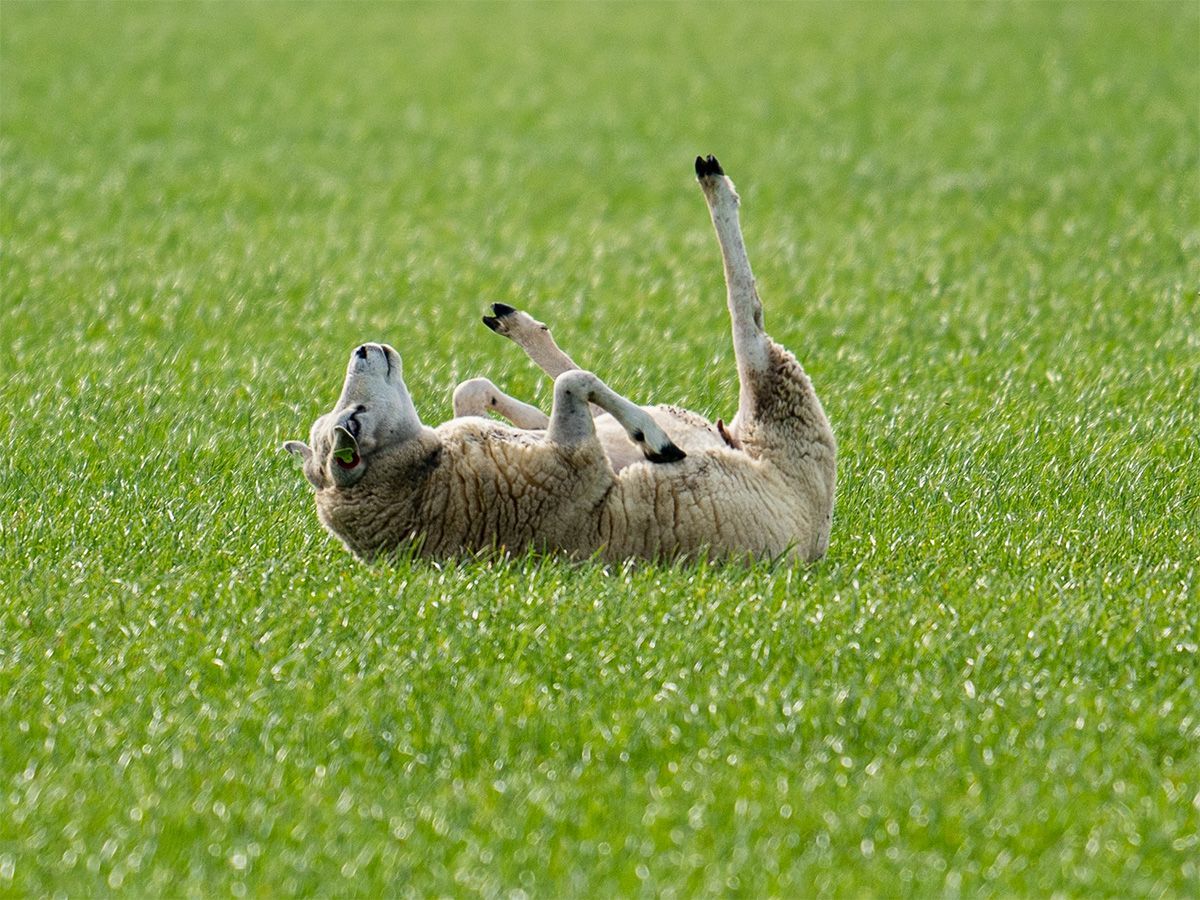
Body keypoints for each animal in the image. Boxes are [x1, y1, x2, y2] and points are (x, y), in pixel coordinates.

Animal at [285, 157, 840, 564]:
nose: (364, 349)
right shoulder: (577, 465)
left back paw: (515, 324)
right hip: (783, 409)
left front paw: (522, 412)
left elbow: (474, 389)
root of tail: (815, 541)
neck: (418, 479)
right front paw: (654, 442)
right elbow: (576, 383)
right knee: (747, 316)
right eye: (354, 421)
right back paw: (714, 183)